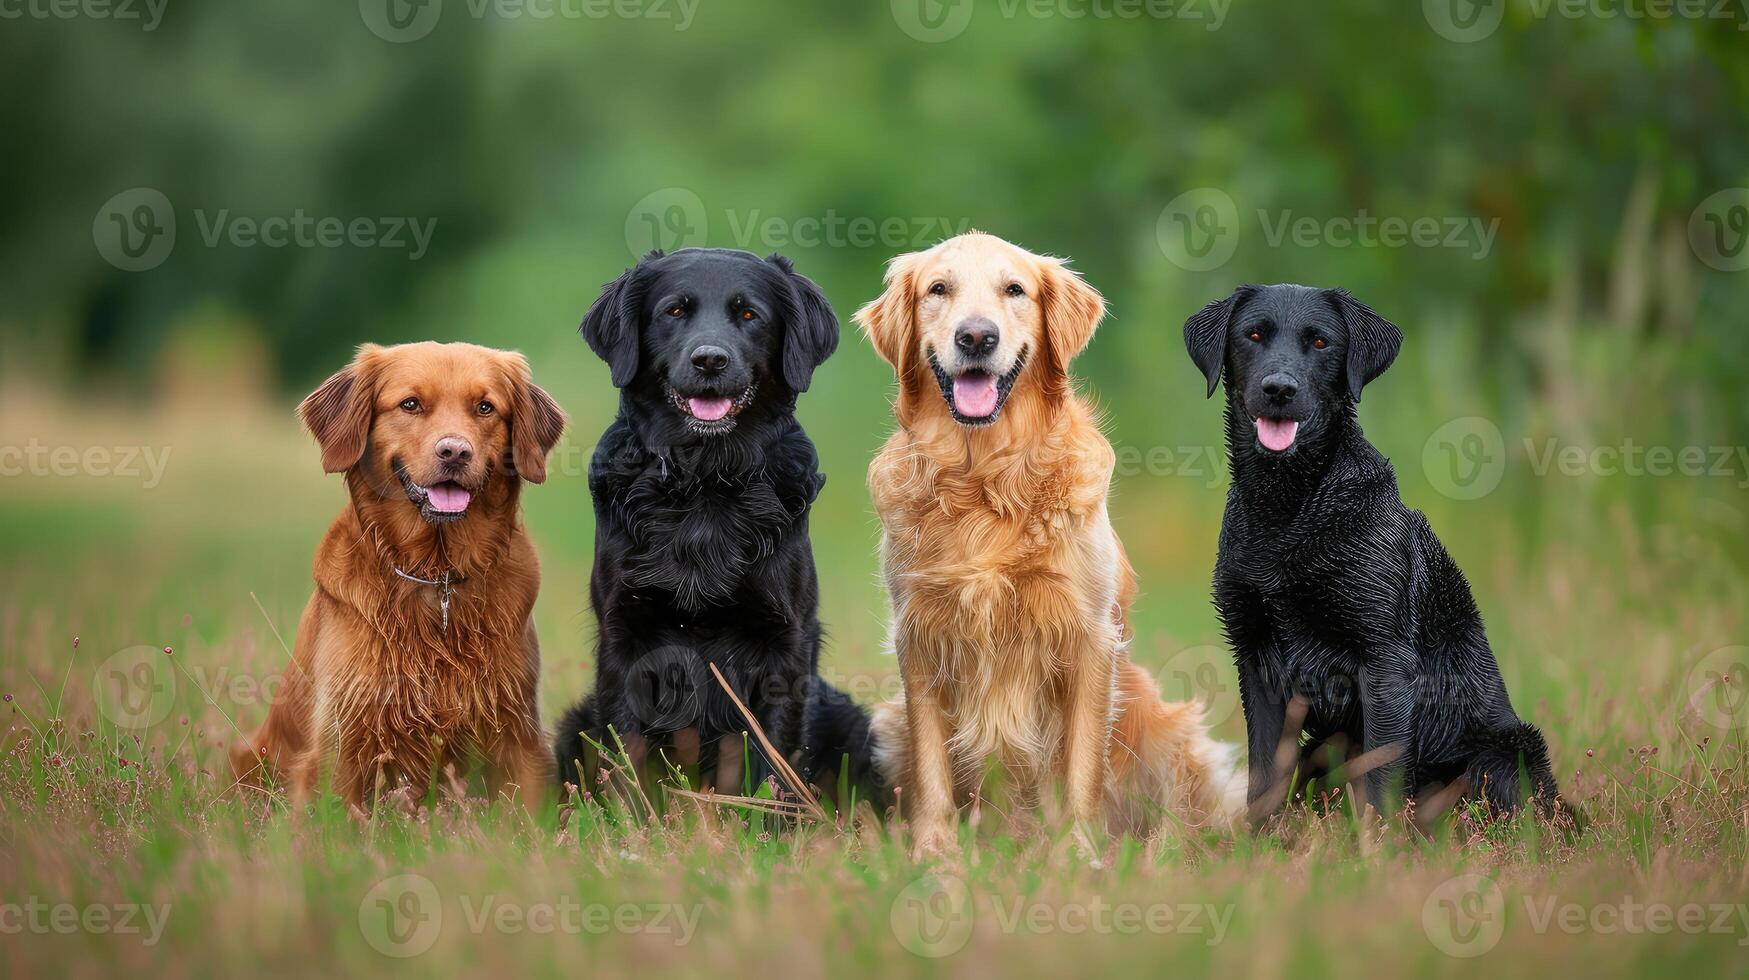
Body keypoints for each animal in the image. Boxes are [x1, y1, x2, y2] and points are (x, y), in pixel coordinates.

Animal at [230, 341, 566, 808]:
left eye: (485, 407)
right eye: (410, 404)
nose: (455, 452)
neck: (437, 575)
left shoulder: (519, 735)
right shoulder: (342, 738)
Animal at [552, 248, 867, 801]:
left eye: (749, 314)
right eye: (674, 311)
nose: (710, 360)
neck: (705, 480)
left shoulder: (784, 645)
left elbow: (772, 763)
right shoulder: (625, 637)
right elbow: (628, 756)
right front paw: (633, 819)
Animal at [850, 232, 1238, 854]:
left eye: (1015, 289)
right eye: (939, 288)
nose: (976, 336)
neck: (984, 478)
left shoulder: (1088, 637)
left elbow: (1081, 765)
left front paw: (1076, 854)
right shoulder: (920, 636)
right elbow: (933, 769)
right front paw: (933, 854)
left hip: (1168, 725)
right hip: (888, 723)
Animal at [1182, 281, 1567, 819]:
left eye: (1320, 342)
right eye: (1253, 334)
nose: (1279, 389)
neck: (1289, 510)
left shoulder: (1385, 662)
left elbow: (1382, 779)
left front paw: (1381, 841)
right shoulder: (1256, 659)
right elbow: (1264, 778)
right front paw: (1260, 838)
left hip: (1506, 751)